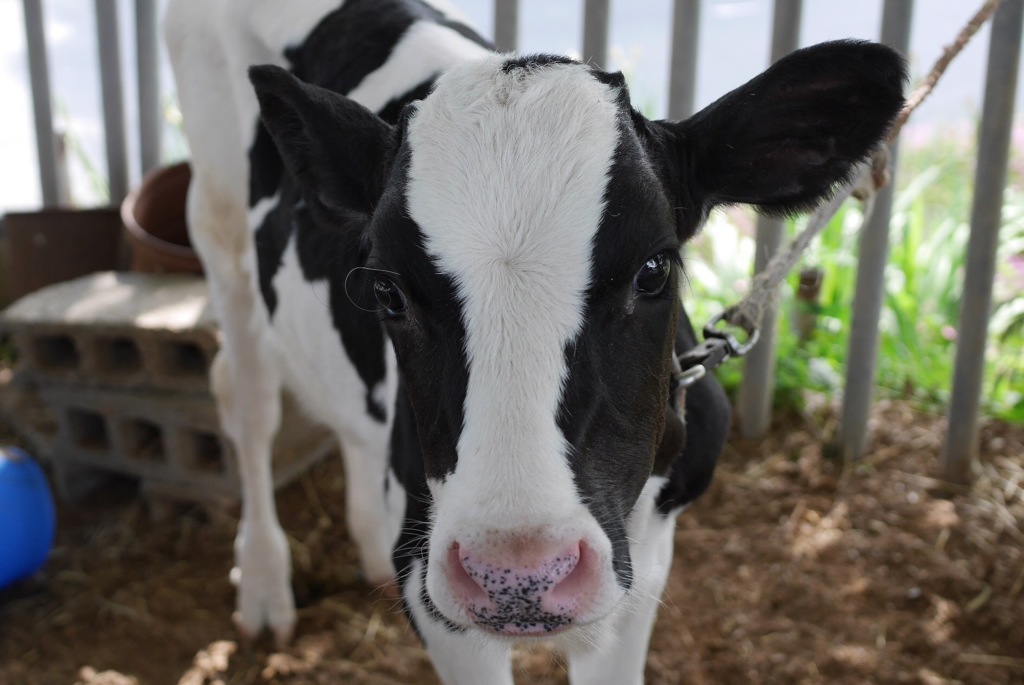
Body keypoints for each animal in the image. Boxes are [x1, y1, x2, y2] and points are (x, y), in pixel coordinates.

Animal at [163, 1, 909, 679]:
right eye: (388, 290)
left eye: (653, 269)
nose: (516, 575)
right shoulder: (442, 601)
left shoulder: (643, 560)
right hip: (217, 223)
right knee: (247, 400)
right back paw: (264, 586)